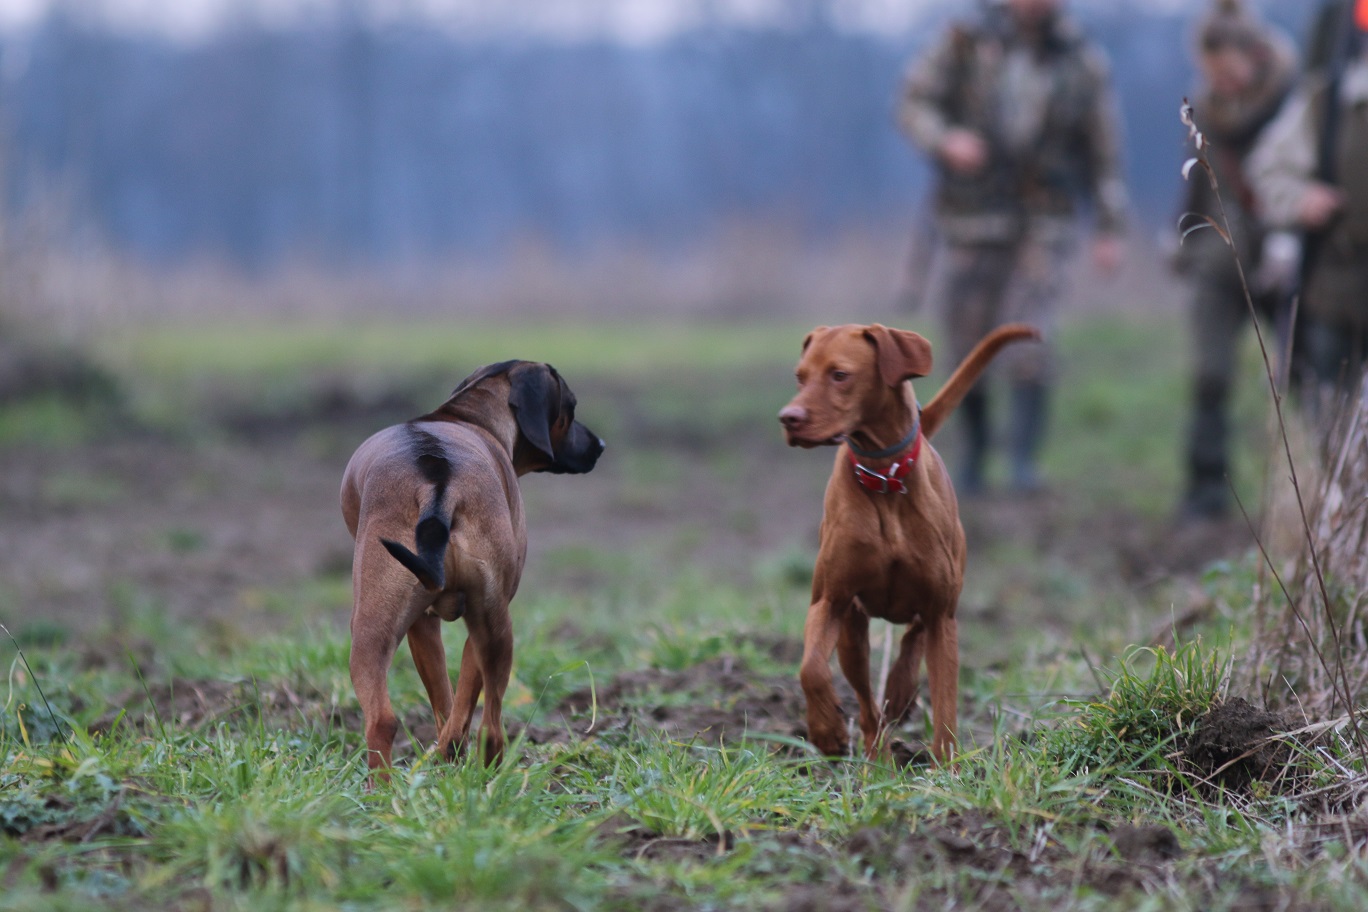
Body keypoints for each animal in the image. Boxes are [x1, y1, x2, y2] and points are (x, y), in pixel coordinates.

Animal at [339, 360, 601, 776]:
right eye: (571, 408)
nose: (600, 445)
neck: (465, 417)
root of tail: (437, 482)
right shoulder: (454, 623)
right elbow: (459, 700)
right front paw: (450, 752)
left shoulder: (431, 625)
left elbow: (448, 701)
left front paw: (448, 753)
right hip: (493, 626)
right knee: (490, 728)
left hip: (371, 630)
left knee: (383, 720)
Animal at [782, 321, 1034, 765]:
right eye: (800, 376)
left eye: (840, 374)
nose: (788, 418)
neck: (884, 476)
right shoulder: (830, 601)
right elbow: (811, 668)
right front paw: (827, 731)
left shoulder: (942, 613)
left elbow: (946, 701)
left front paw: (948, 767)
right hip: (853, 630)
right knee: (867, 700)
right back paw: (876, 754)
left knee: (913, 640)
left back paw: (899, 692)